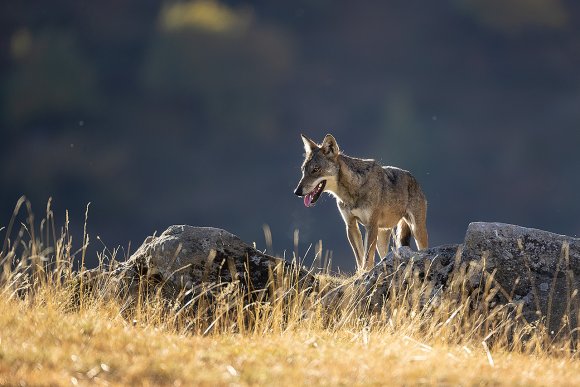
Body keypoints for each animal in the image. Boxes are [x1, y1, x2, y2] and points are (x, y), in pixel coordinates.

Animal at [294, 135, 426, 272]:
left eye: (315, 169)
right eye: (303, 170)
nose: (297, 192)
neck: (352, 191)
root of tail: (414, 178)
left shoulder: (370, 226)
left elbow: (367, 257)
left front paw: (366, 273)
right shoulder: (351, 225)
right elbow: (360, 257)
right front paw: (361, 273)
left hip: (416, 230)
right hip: (382, 236)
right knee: (384, 256)